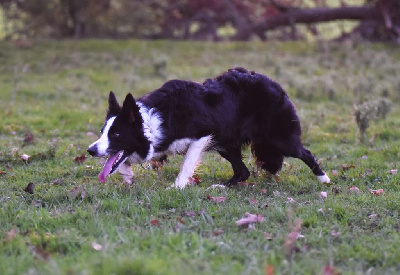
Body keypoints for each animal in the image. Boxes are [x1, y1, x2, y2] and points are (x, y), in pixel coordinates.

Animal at [88, 68, 332, 190]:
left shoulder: (203, 134)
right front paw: (128, 175)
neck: (154, 121)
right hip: (227, 144)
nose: (90, 150)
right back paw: (222, 187)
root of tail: (273, 83)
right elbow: (120, 162)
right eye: (102, 132)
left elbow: (187, 164)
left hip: (279, 138)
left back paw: (325, 180)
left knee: (306, 153)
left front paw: (176, 188)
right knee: (243, 172)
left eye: (116, 133)